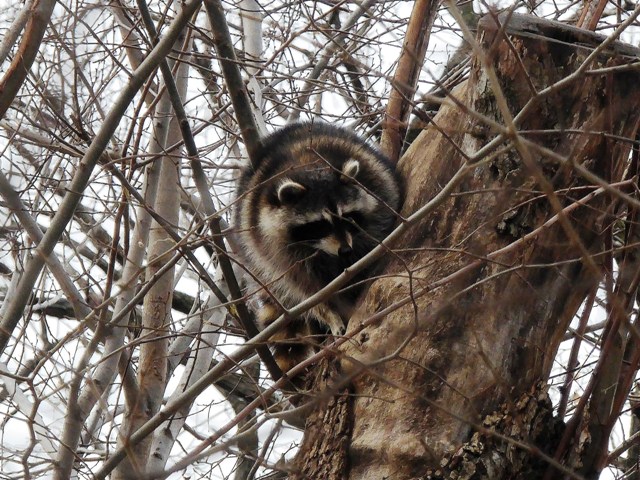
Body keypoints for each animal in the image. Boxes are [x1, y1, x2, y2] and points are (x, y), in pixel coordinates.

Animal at [234, 122, 402, 374]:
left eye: (347, 217)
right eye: (320, 225)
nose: (345, 250)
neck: (310, 165)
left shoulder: (378, 187)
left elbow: (375, 233)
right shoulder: (271, 246)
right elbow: (305, 288)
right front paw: (329, 312)